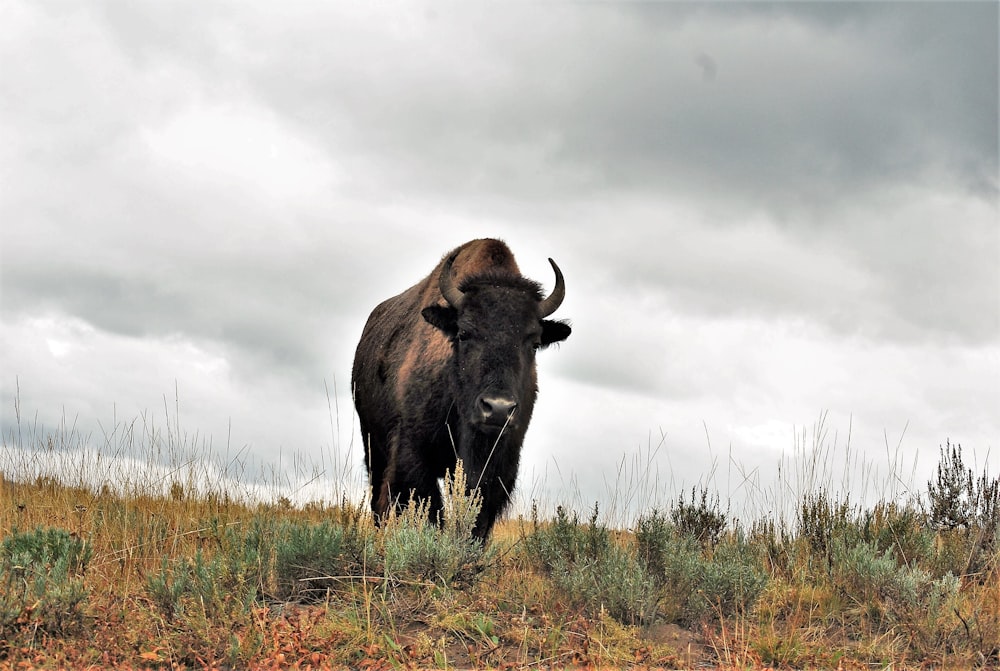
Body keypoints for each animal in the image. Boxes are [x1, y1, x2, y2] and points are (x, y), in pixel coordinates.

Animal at [352, 239, 572, 540]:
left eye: (534, 343)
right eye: (464, 334)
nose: (498, 409)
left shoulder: (499, 465)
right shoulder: (414, 454)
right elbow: (430, 511)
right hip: (373, 444)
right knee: (379, 500)